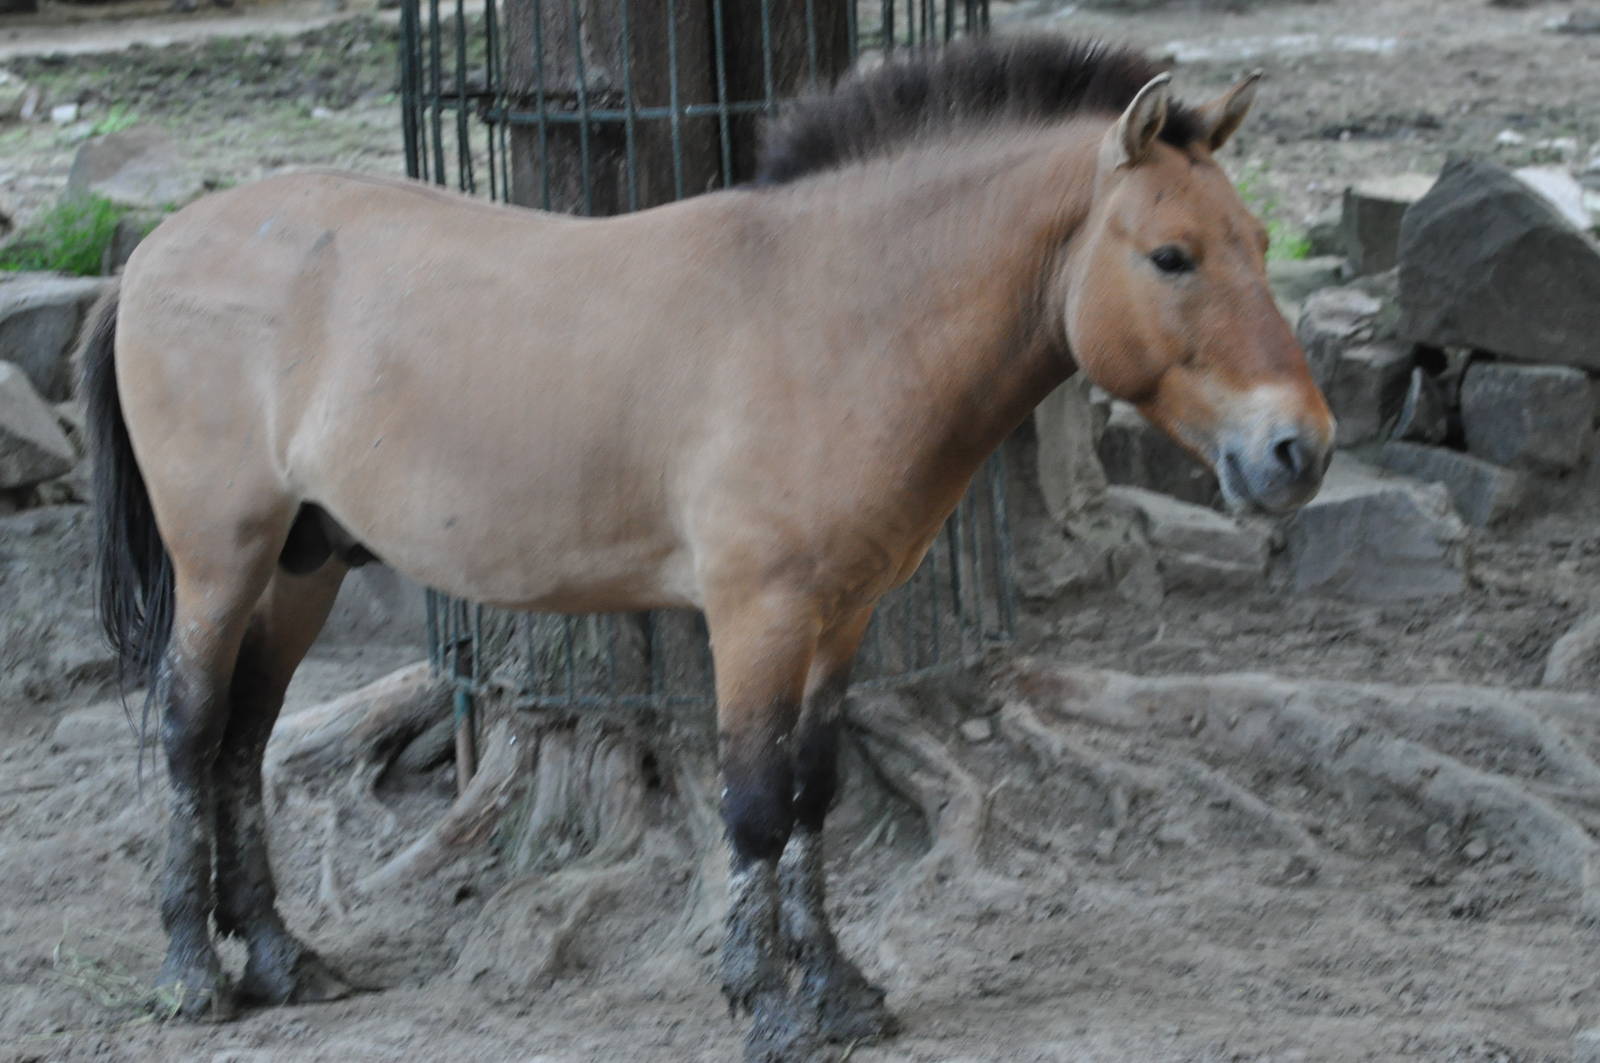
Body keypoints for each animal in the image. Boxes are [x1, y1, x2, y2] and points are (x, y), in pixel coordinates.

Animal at [81, 34, 1333, 1063]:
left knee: (245, 740)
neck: (831, 319)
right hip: (222, 556)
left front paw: (838, 989)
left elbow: (817, 791)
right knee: (192, 728)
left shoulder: (844, 613)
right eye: (1171, 255)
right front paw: (764, 1003)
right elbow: (755, 803)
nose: (1299, 449)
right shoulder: (755, 614)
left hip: (306, 563)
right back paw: (192, 974)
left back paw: (283, 959)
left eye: (1259, 240)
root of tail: (152, 253)